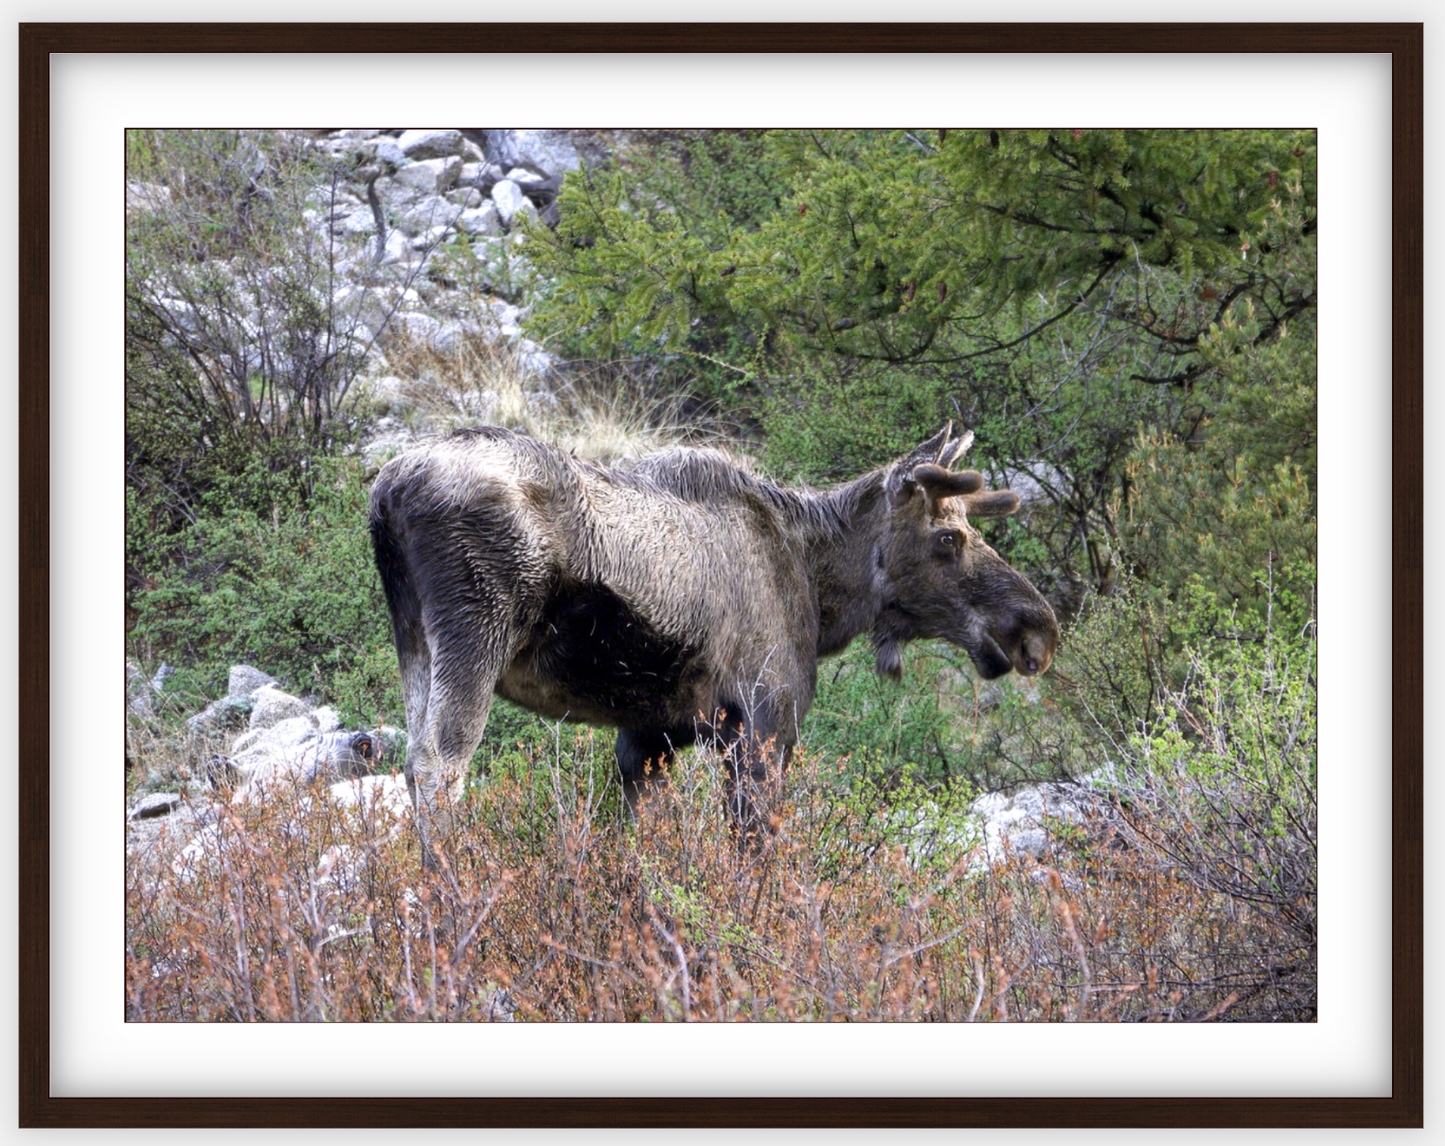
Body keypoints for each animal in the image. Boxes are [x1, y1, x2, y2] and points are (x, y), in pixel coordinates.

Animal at [367, 421, 1057, 867]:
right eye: (948, 539)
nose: (1036, 628)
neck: (818, 590)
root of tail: (386, 493)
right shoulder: (765, 722)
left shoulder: (649, 735)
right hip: (476, 629)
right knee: (438, 765)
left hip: (414, 641)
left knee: (412, 761)